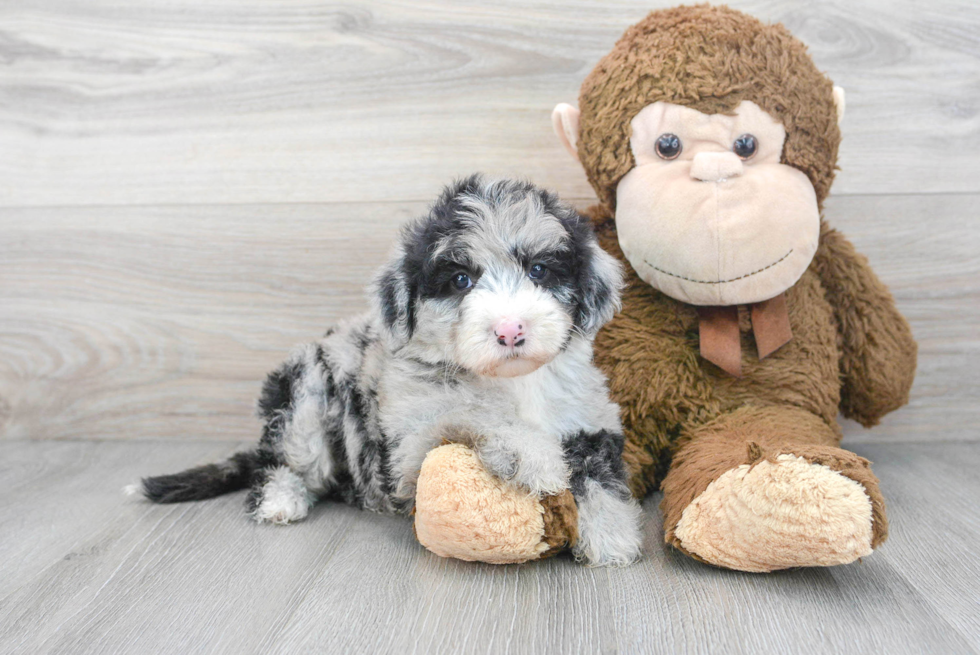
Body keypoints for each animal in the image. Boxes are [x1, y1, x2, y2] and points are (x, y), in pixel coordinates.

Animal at [136, 177, 644, 568]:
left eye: (539, 270)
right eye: (460, 280)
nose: (509, 329)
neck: (512, 382)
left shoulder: (589, 418)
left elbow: (600, 477)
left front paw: (612, 537)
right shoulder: (411, 444)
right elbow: (473, 413)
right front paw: (534, 456)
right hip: (307, 391)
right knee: (278, 459)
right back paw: (281, 499)